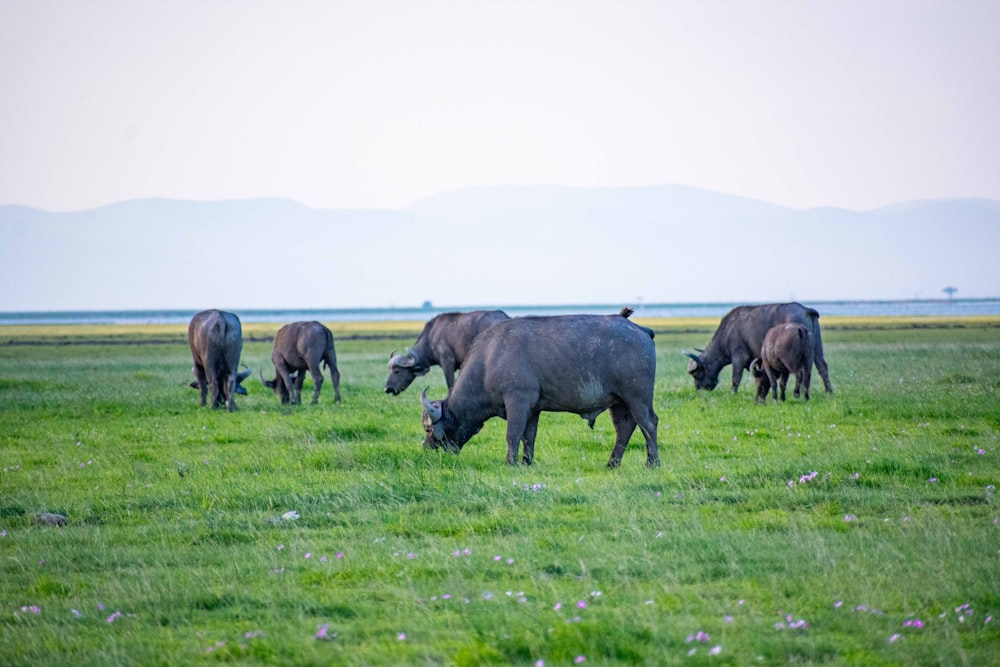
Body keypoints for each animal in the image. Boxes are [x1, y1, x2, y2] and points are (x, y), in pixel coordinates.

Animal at [418, 312, 660, 470]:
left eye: (429, 429)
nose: (426, 448)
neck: (488, 360)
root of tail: (640, 330)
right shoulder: (533, 409)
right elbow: (529, 436)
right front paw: (527, 462)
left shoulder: (517, 402)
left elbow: (513, 434)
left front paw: (511, 462)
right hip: (619, 403)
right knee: (624, 429)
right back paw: (612, 463)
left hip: (637, 398)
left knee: (649, 424)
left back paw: (652, 463)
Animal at [684, 304, 832, 396]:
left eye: (696, 374)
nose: (699, 389)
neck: (726, 333)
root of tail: (806, 310)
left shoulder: (739, 356)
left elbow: (736, 377)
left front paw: (732, 393)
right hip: (816, 348)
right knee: (822, 367)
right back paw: (828, 392)